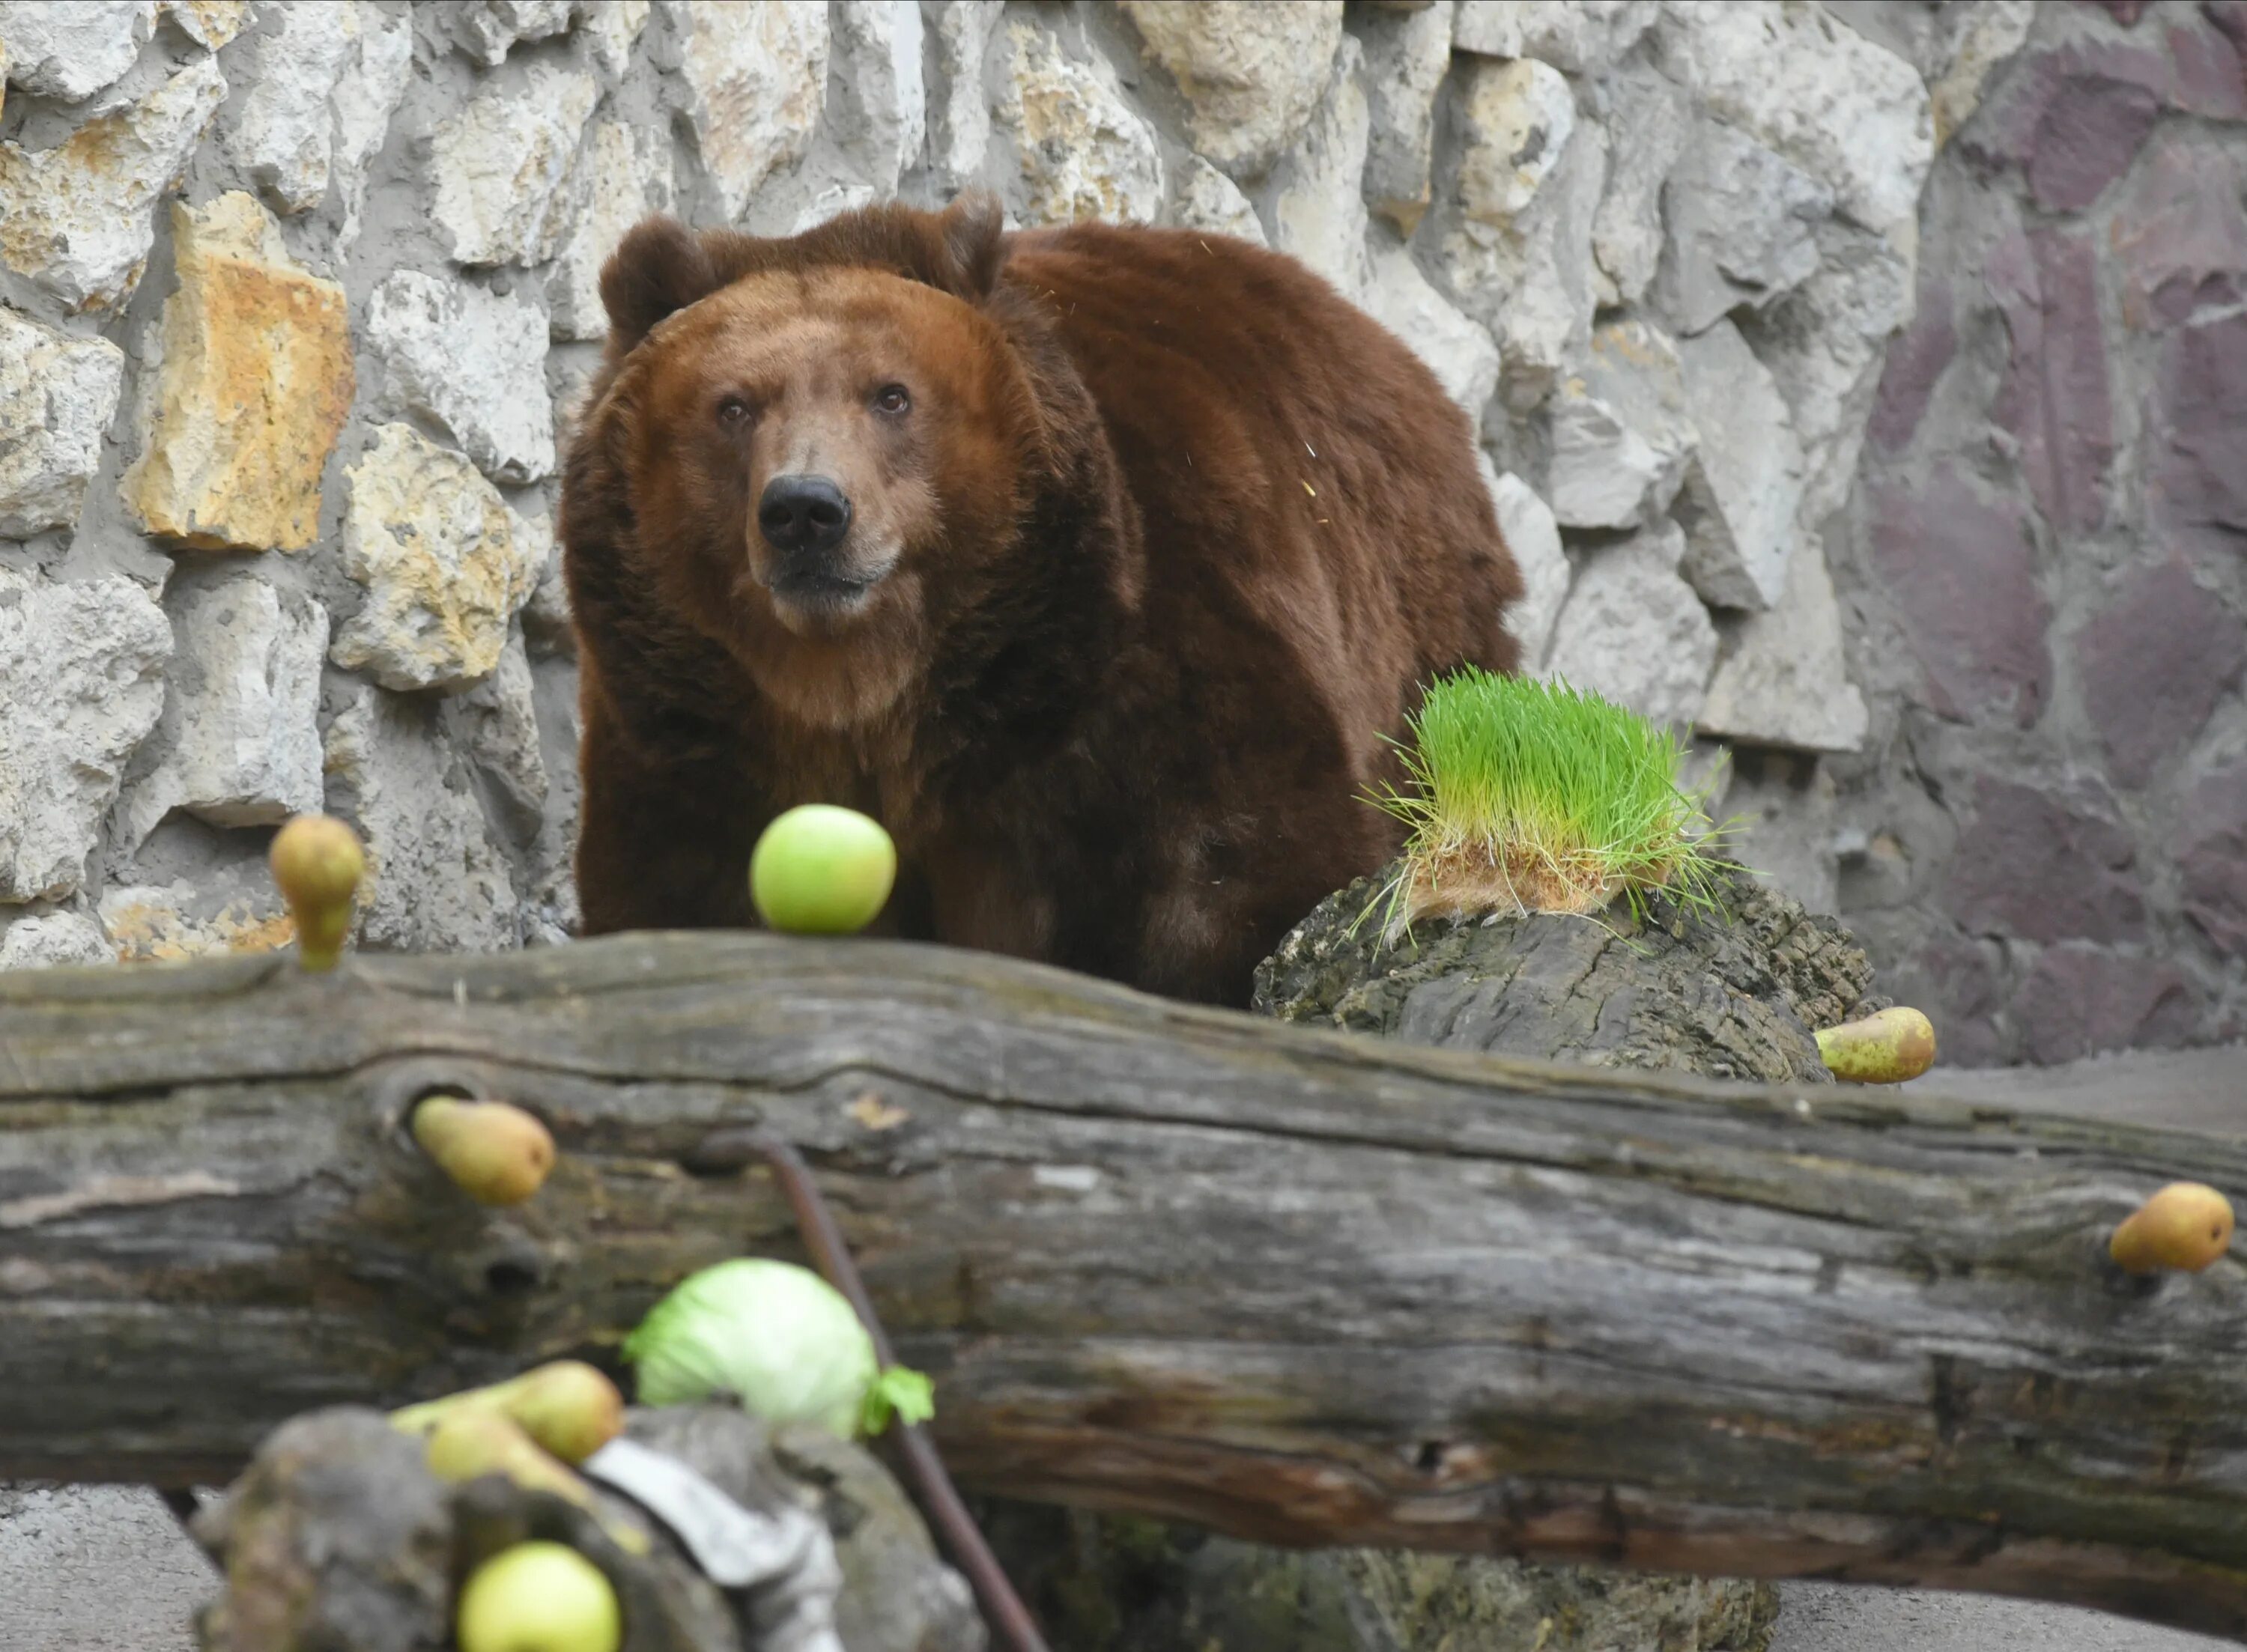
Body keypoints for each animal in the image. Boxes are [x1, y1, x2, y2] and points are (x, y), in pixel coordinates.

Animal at [562, 191, 1528, 993]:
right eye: (733, 406)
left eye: (891, 395)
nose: (806, 510)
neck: (872, 701)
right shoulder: (694, 751)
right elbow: (670, 894)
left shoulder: (1126, 686)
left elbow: (1234, 864)